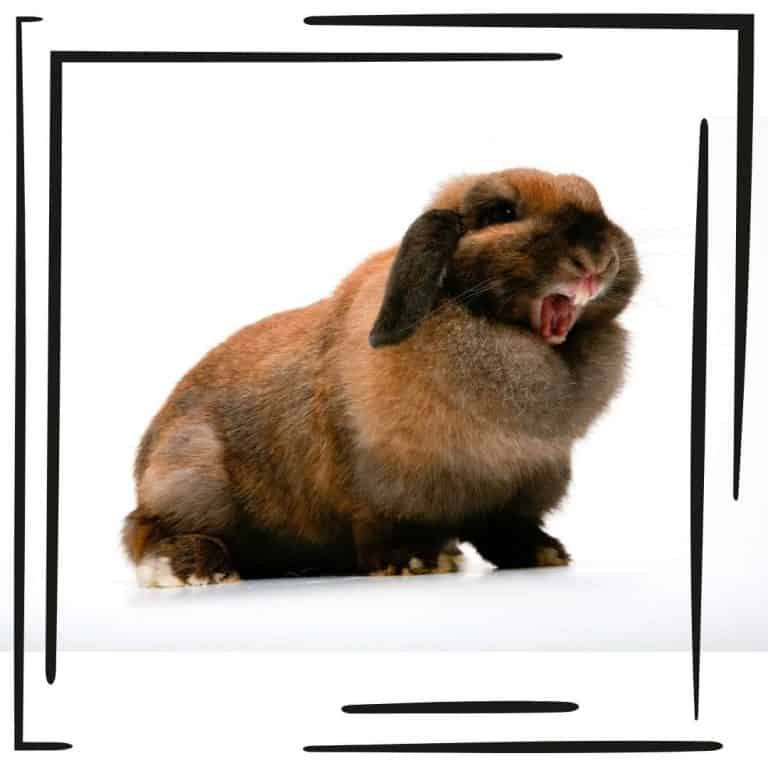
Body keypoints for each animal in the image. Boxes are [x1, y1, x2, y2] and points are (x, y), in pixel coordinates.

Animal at [122, 168, 640, 587]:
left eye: (596, 201)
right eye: (501, 212)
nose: (597, 256)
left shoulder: (518, 489)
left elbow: (506, 526)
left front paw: (542, 552)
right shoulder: (381, 489)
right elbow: (385, 527)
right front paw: (417, 560)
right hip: (191, 477)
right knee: (148, 531)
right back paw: (195, 569)